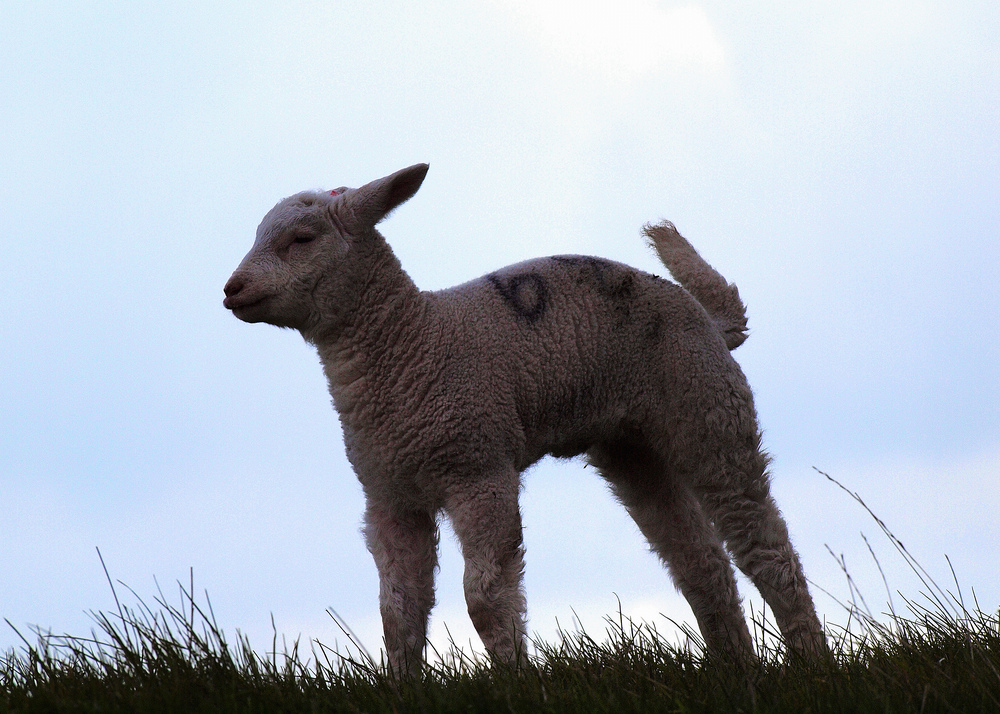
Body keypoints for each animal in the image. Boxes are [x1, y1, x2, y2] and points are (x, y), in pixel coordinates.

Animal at [225, 163, 828, 672]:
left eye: (302, 239)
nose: (232, 289)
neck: (411, 342)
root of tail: (709, 317)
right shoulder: (389, 498)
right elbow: (398, 613)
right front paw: (401, 690)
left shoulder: (479, 469)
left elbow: (486, 599)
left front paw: (515, 683)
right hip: (632, 447)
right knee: (703, 565)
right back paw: (737, 674)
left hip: (707, 407)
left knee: (766, 549)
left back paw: (810, 667)